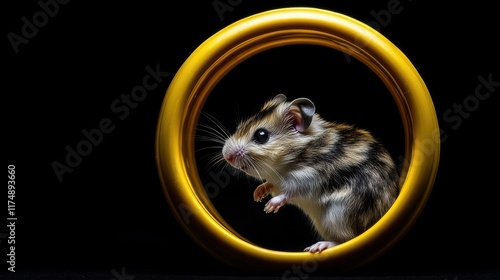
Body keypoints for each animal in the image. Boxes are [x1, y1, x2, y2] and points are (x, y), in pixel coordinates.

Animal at [221, 94, 400, 254]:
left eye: (261, 135)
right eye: (242, 125)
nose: (226, 156)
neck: (285, 166)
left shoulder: (307, 179)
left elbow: (287, 193)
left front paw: (269, 207)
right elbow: (270, 184)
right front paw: (257, 195)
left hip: (339, 214)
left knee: (346, 238)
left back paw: (317, 247)